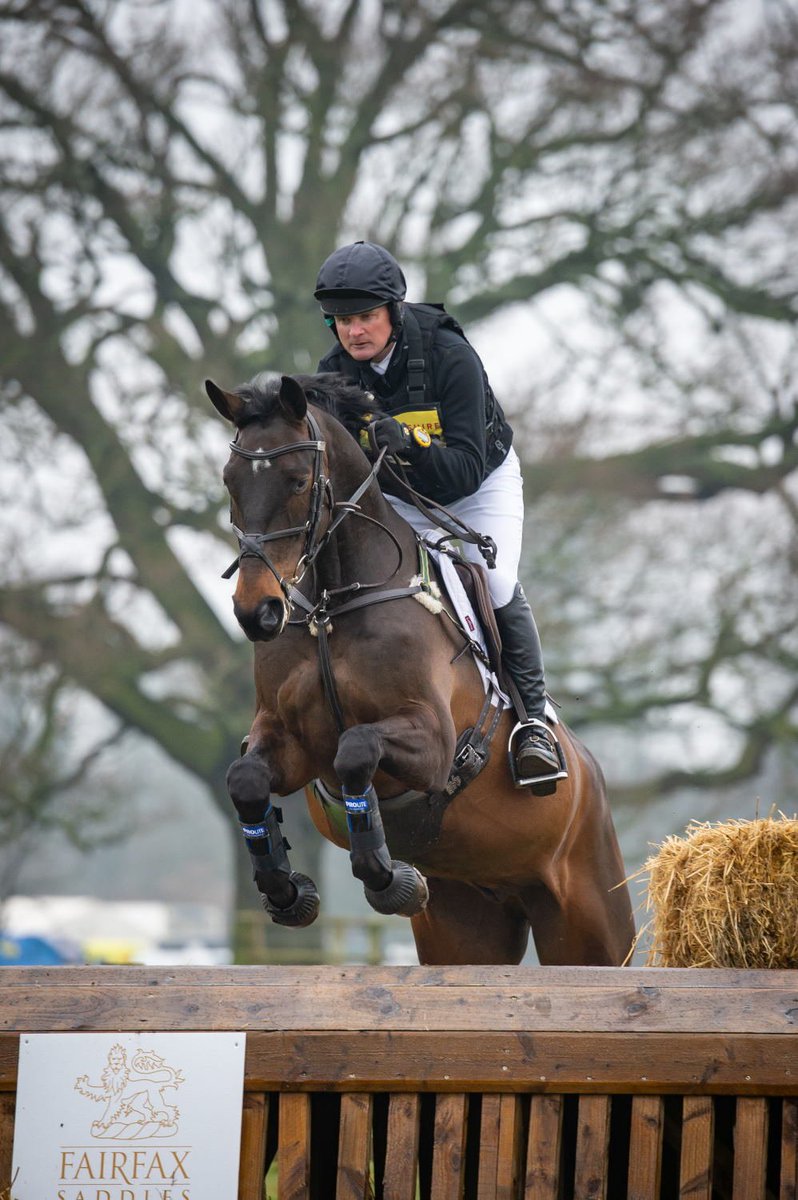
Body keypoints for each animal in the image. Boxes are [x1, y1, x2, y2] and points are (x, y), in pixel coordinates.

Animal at [205, 371, 635, 966]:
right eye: (229, 482)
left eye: (296, 481)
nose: (258, 612)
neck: (331, 609)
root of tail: (593, 777)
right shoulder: (289, 744)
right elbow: (246, 778)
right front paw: (287, 891)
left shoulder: (433, 742)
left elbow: (356, 747)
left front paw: (390, 879)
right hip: (465, 926)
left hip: (589, 923)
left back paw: (536, 749)